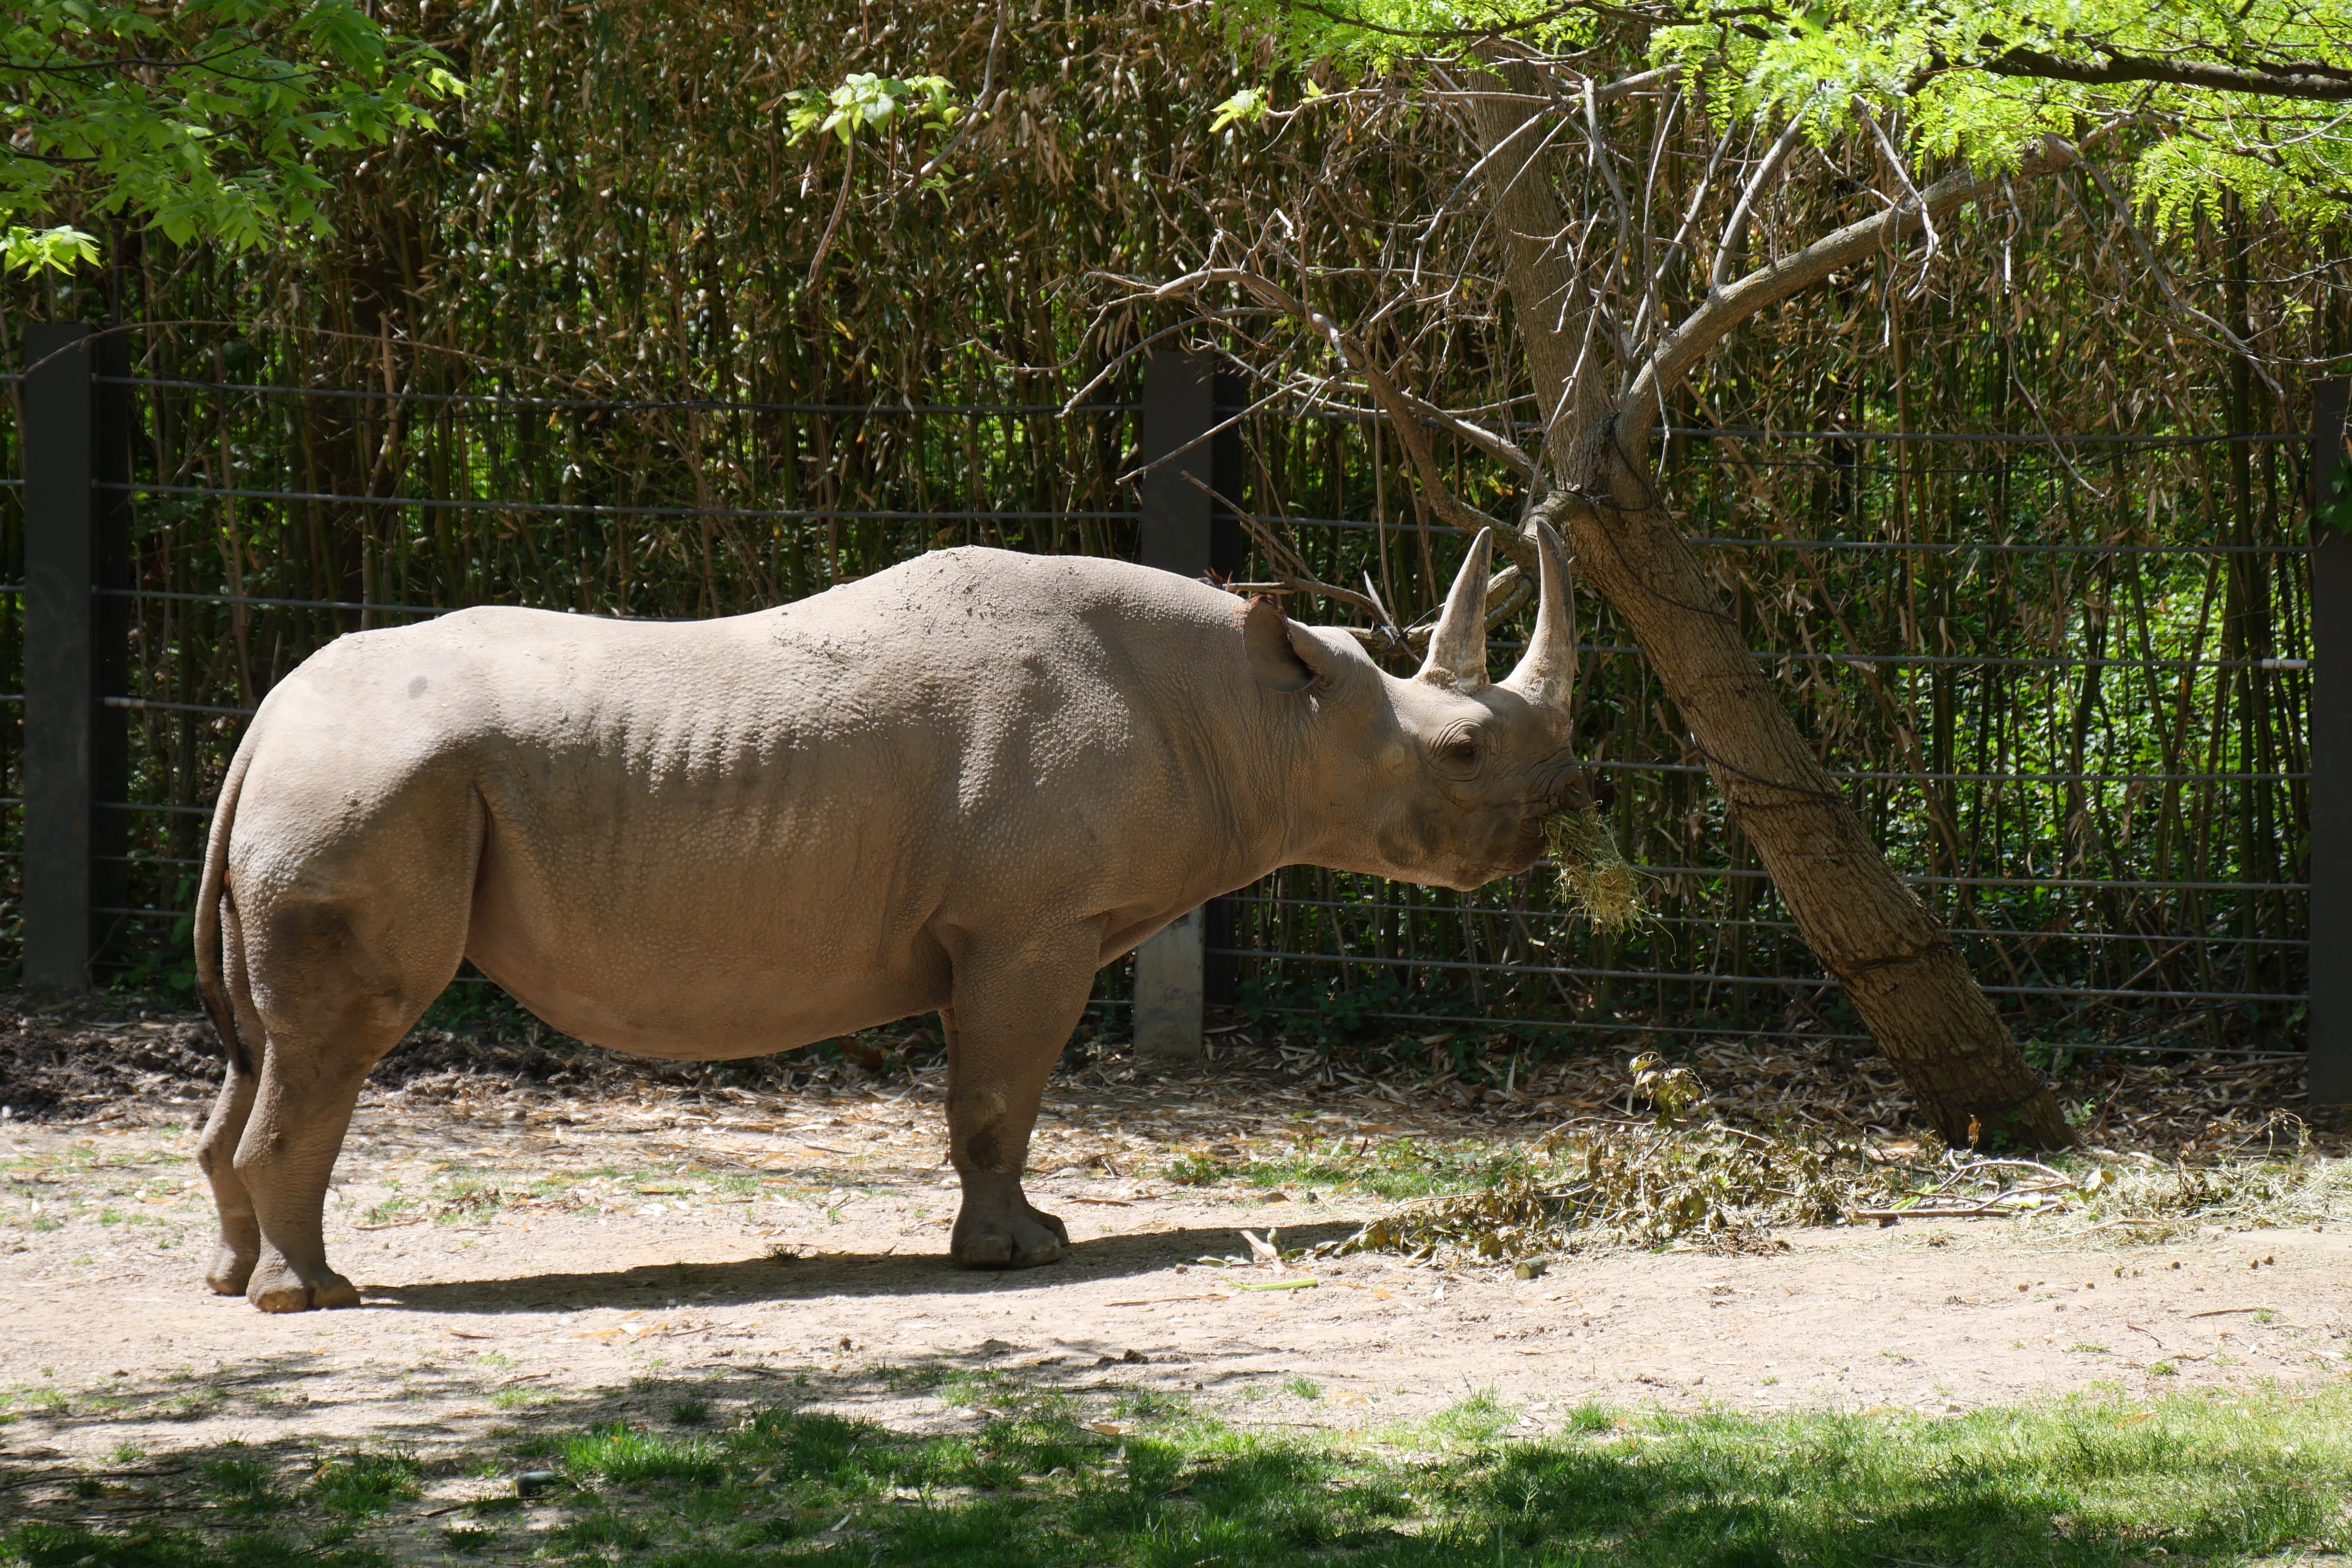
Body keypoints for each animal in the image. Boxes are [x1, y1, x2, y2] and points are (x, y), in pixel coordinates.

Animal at [190, 524, 1587, 1311]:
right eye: (1462, 753)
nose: (1549, 823)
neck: (1262, 711)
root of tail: (265, 723)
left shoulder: (1016, 923)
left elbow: (991, 1097)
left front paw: (1021, 1240)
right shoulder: (1029, 925)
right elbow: (999, 1098)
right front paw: (1024, 1254)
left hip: (333, 783)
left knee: (267, 1043)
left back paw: (236, 1281)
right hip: (371, 785)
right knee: (338, 1041)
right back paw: (314, 1300)